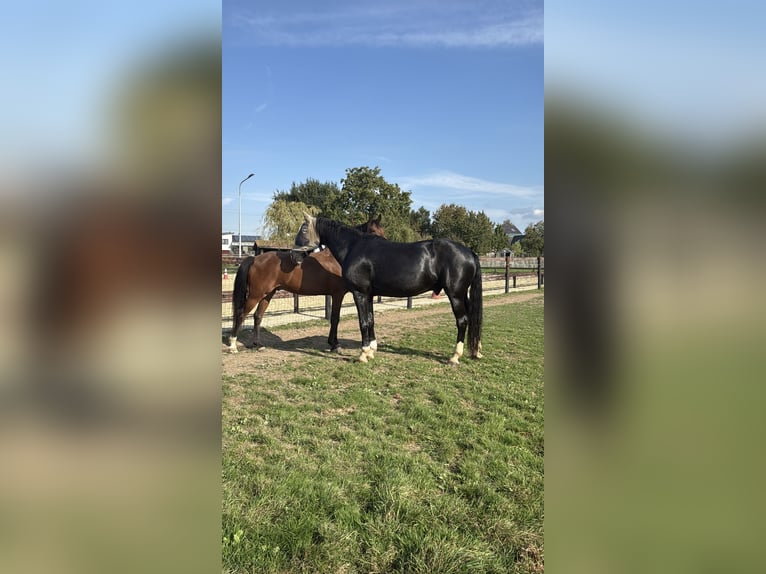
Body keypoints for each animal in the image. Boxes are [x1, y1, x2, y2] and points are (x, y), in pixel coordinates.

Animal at [227, 217, 385, 353]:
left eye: (382, 232)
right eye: (372, 232)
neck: (337, 259)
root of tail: (254, 259)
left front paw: (333, 344)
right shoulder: (338, 294)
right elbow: (335, 318)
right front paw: (335, 345)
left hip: (268, 294)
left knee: (257, 316)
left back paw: (258, 344)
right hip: (255, 295)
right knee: (241, 315)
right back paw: (233, 346)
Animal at [300, 214, 483, 364]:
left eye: (303, 229)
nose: (298, 251)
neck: (353, 246)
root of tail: (470, 252)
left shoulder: (359, 294)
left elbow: (363, 322)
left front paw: (363, 354)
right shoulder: (369, 295)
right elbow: (371, 320)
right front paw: (371, 351)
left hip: (456, 295)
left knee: (462, 321)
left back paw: (455, 357)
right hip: (463, 295)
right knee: (473, 318)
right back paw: (476, 350)